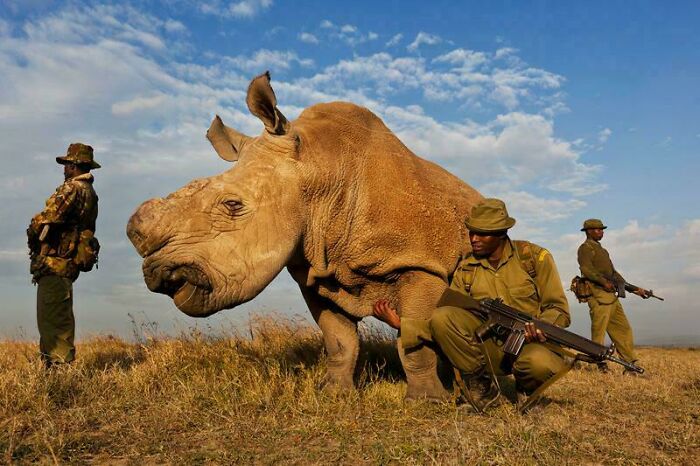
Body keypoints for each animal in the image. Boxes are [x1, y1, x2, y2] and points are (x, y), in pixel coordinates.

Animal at [127, 72, 483, 400]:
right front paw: (335, 394)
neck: (320, 171)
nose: (158, 274)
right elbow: (338, 339)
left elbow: (414, 341)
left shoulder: (421, 263)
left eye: (232, 205)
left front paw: (427, 401)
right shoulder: (317, 272)